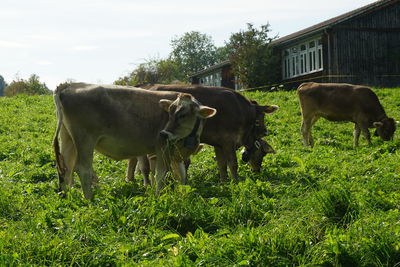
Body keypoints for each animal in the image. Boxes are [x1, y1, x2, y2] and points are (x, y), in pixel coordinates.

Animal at [54, 82, 216, 200]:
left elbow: (181, 175)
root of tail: (71, 84)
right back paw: (89, 201)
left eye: (183, 115)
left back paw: (68, 197)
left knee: (66, 167)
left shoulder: (176, 154)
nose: (163, 133)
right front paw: (159, 197)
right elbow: (160, 175)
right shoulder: (161, 148)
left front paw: (182, 194)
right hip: (85, 140)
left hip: (67, 138)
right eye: (169, 112)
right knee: (83, 169)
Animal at [128, 85, 278, 183]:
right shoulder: (228, 141)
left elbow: (221, 164)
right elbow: (233, 163)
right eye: (262, 154)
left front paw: (224, 182)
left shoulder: (219, 143)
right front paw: (236, 182)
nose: (257, 171)